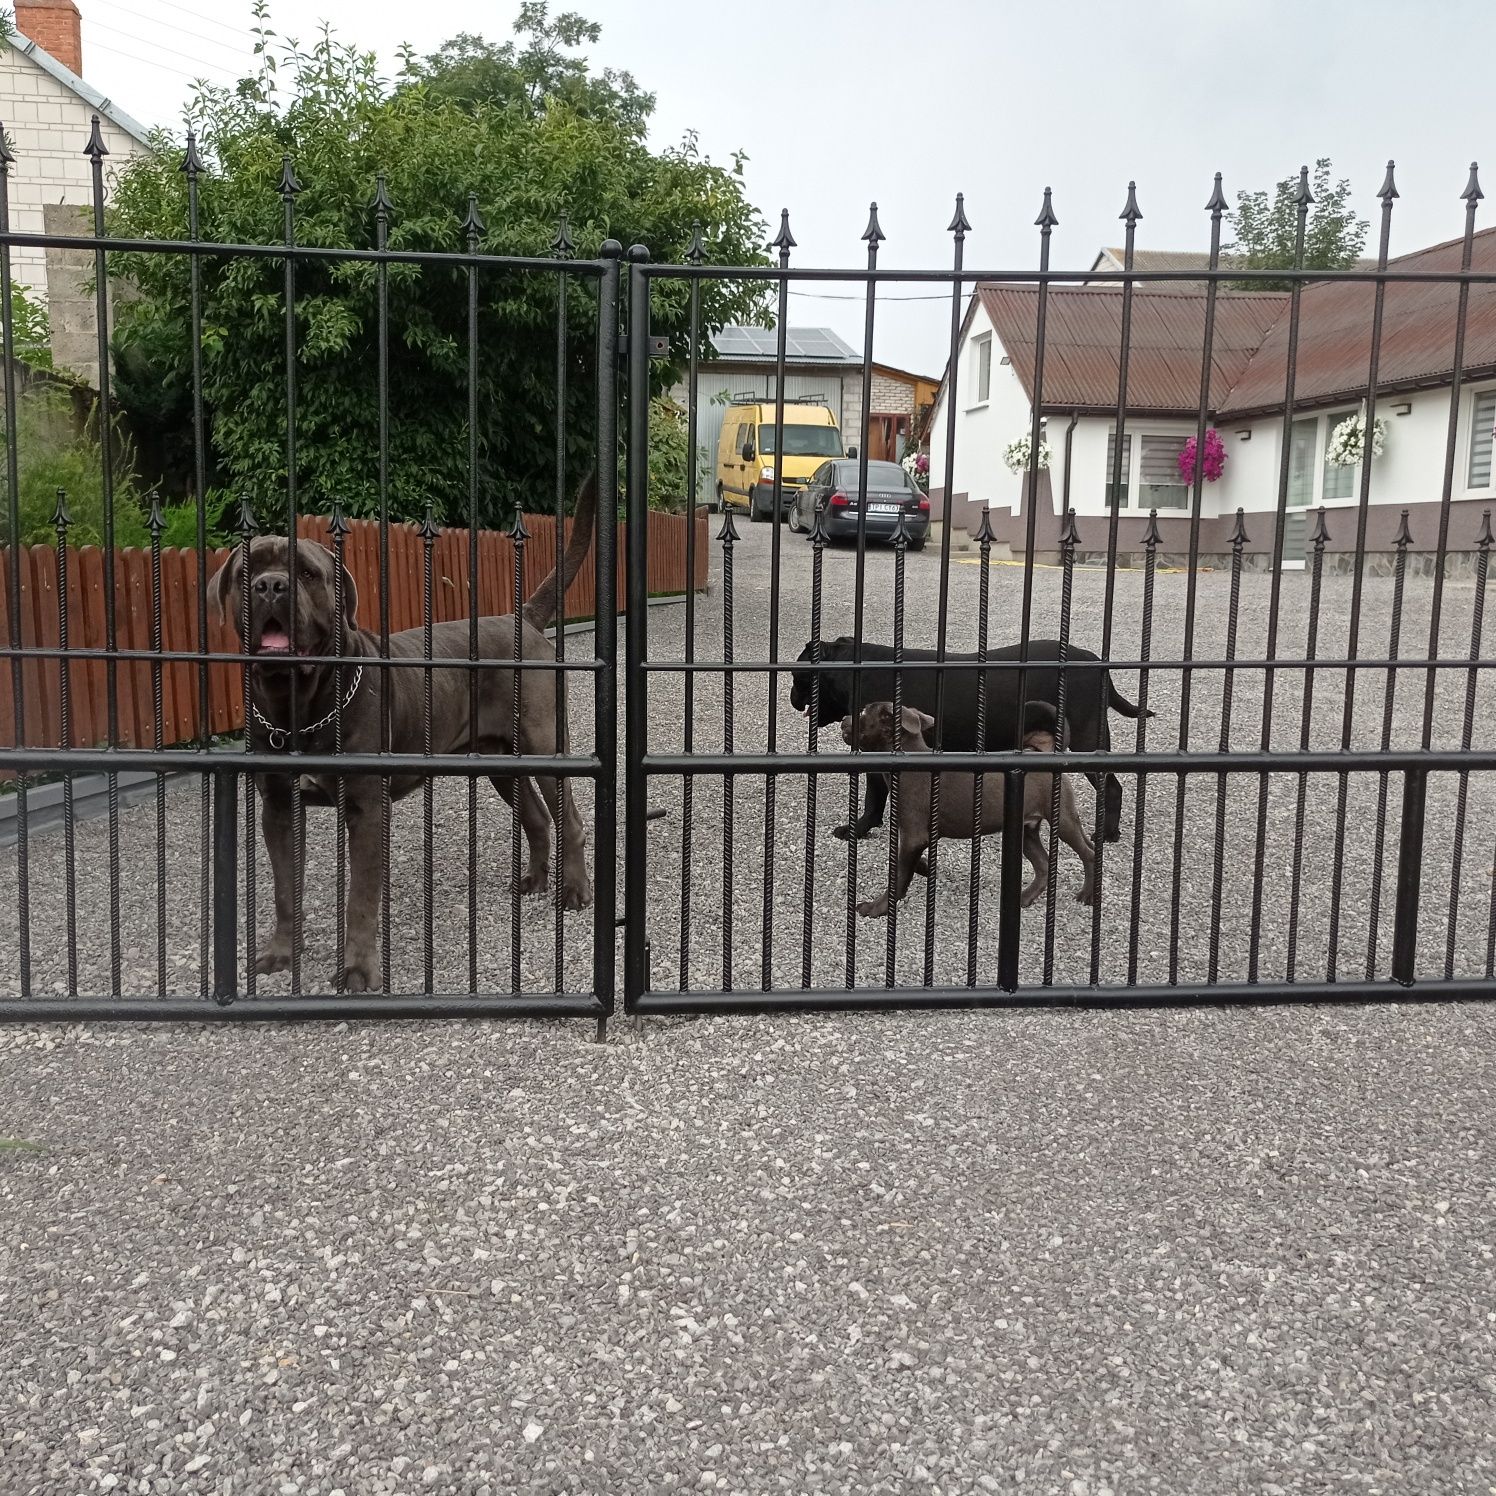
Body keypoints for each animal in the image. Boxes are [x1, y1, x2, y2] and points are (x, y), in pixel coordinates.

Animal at [210, 478, 595, 993]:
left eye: (308, 574)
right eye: (245, 572)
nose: (270, 585)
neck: (298, 706)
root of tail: (524, 621)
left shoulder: (367, 809)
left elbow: (360, 896)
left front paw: (358, 970)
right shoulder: (277, 808)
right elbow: (285, 889)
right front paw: (281, 954)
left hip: (543, 747)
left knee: (568, 819)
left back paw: (573, 891)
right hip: (500, 759)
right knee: (536, 817)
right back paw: (533, 880)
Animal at [789, 634, 1148, 849]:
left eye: (796, 676)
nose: (792, 698)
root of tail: (1095, 661)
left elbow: (873, 797)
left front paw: (858, 829)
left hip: (1088, 739)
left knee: (1112, 786)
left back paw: (1108, 833)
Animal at [843, 703, 1101, 921]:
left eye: (864, 712)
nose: (844, 719)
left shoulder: (914, 835)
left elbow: (898, 874)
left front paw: (876, 908)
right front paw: (924, 867)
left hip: (1062, 819)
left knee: (1088, 852)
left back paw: (1087, 894)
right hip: (1026, 829)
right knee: (1044, 865)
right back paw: (1024, 898)